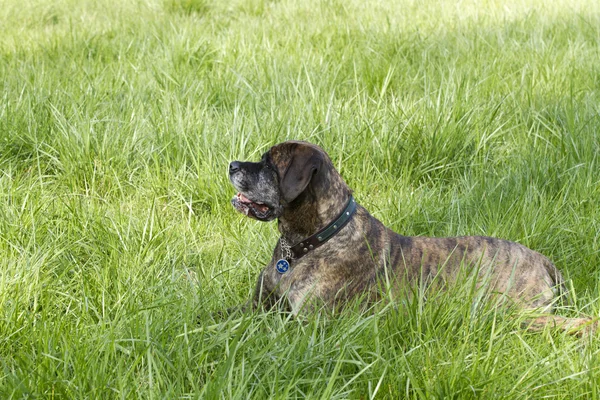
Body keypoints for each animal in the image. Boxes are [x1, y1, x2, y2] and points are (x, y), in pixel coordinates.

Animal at [227, 141, 592, 334]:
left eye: (268, 164)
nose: (231, 164)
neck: (309, 241)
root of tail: (543, 259)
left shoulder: (305, 324)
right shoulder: (256, 306)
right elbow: (221, 315)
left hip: (517, 313)